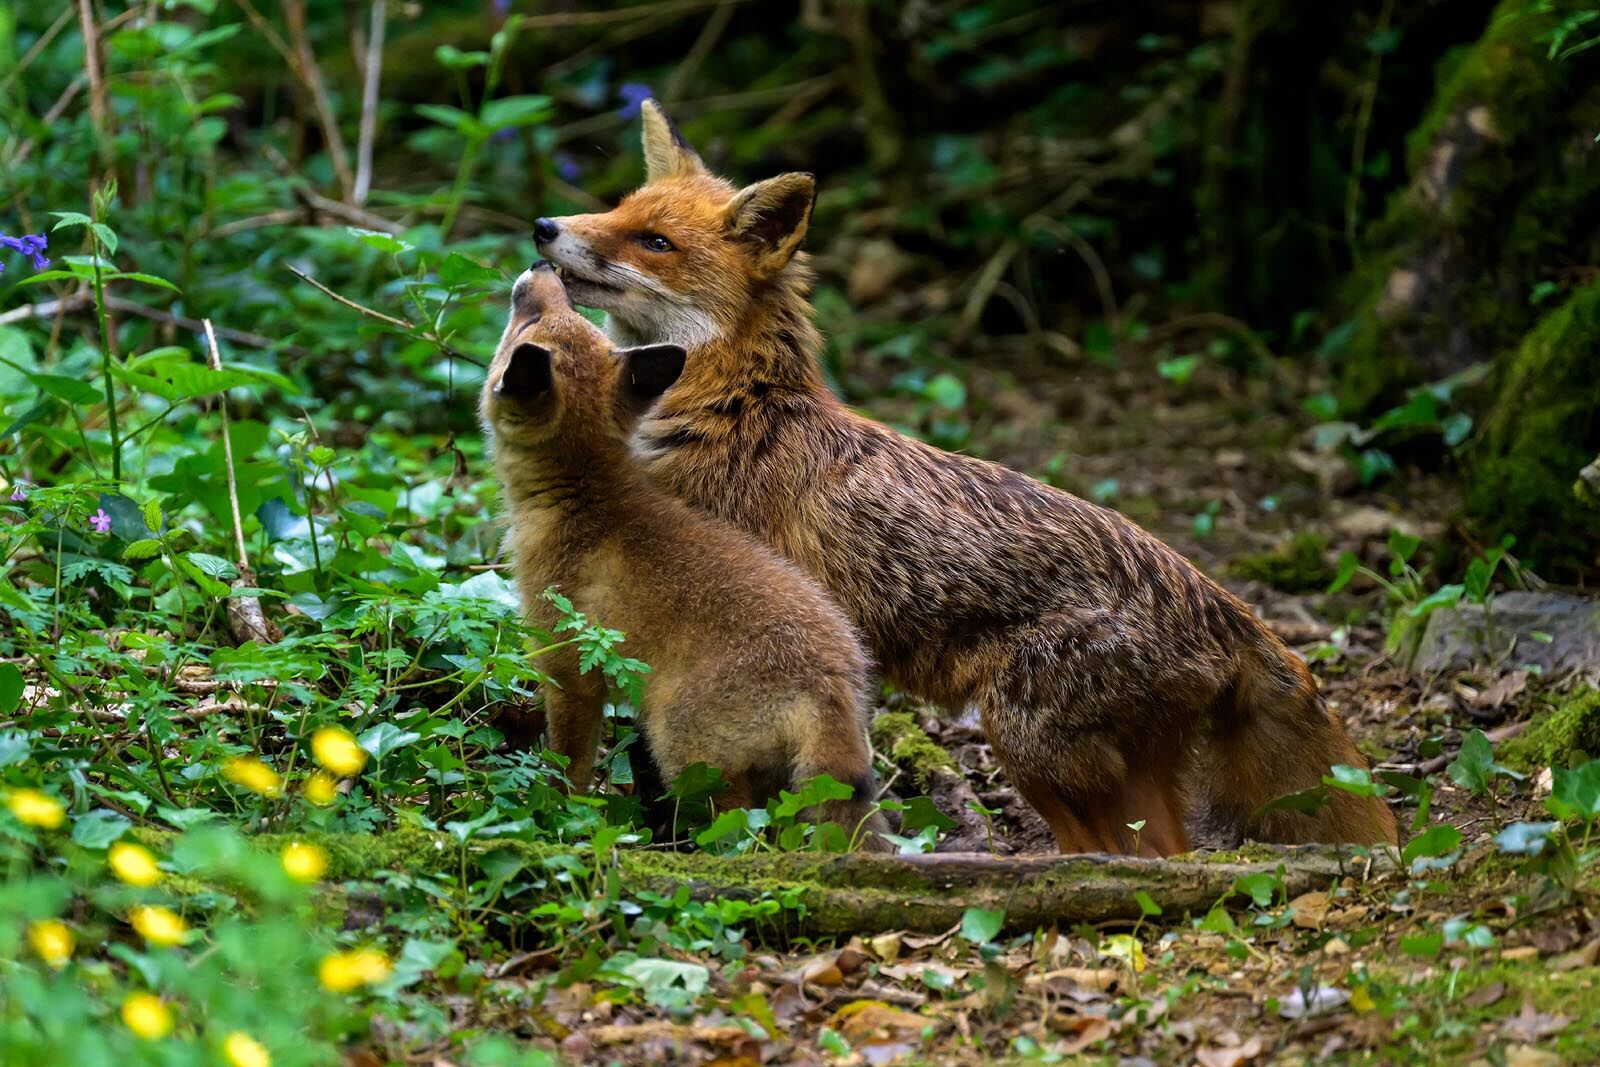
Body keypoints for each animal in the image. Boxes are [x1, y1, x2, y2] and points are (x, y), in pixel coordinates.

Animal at [481, 262, 889, 850]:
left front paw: (558, 815)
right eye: (551, 314)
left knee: (740, 835)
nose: (542, 268)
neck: (582, 496)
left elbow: (571, 762)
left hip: (683, 752)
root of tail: (831, 680)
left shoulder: (568, 659)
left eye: (530, 322)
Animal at [530, 100, 1398, 857]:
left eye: (654, 241)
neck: (734, 408)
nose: (544, 227)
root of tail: (1227, 607)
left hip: (1030, 747)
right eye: (617, 207)